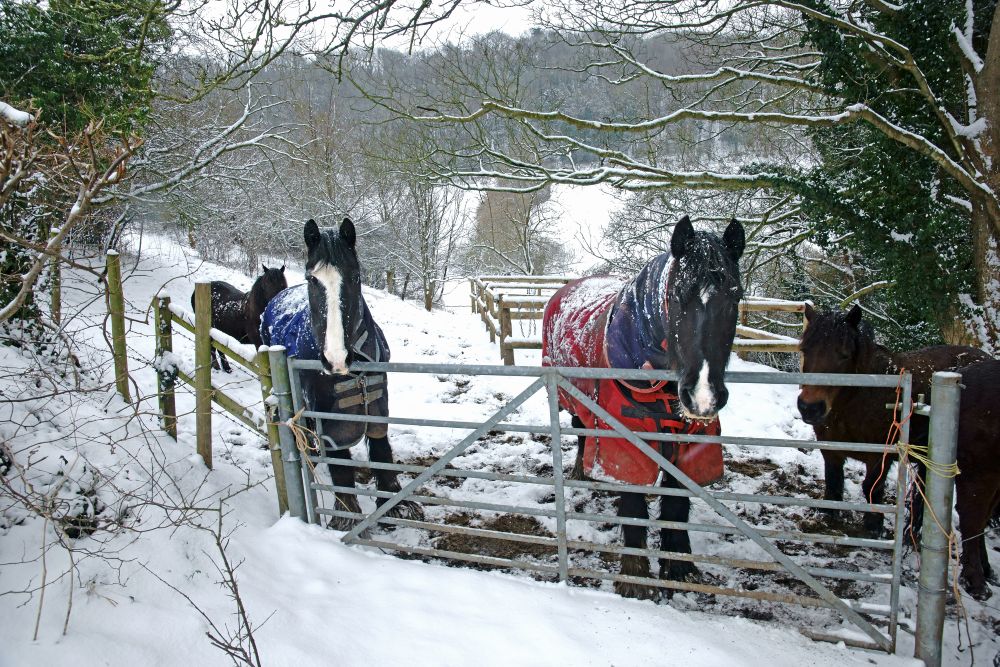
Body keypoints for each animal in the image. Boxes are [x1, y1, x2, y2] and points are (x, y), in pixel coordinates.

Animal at [260, 218, 423, 529]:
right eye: (312, 279)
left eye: (356, 276)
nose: (336, 359)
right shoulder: (331, 421)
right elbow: (340, 467)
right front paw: (345, 516)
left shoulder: (377, 405)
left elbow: (382, 452)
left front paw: (396, 505)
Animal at [543, 215, 745, 600]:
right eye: (677, 296)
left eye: (736, 295)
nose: (703, 396)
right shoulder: (625, 442)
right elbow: (634, 506)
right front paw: (634, 576)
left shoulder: (690, 445)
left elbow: (676, 505)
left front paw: (678, 567)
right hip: (574, 400)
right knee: (581, 431)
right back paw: (582, 472)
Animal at [796, 304, 990, 537]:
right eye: (804, 350)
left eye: (844, 355)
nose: (810, 407)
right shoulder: (830, 449)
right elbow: (833, 483)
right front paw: (826, 515)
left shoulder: (882, 454)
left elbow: (872, 487)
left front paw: (874, 526)